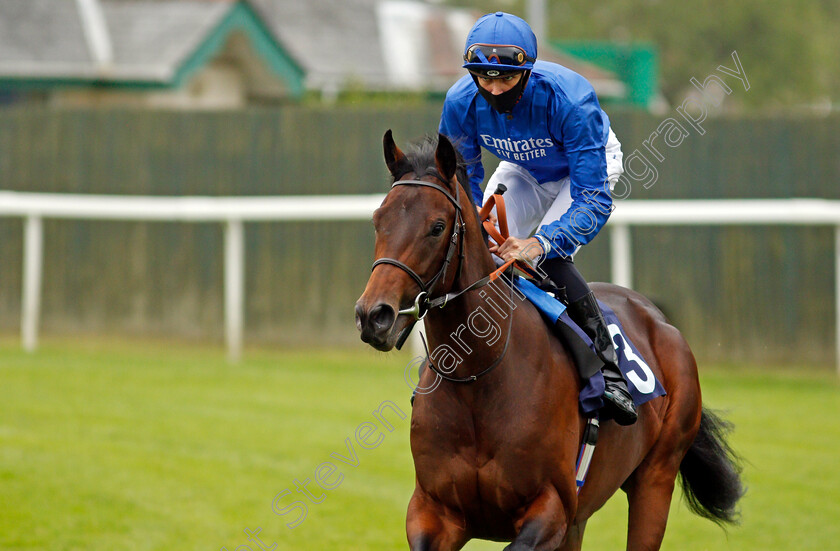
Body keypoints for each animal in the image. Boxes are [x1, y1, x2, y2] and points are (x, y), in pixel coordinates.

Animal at [352, 133, 740, 551]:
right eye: (378, 220)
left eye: (437, 226)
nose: (374, 315)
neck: (479, 378)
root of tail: (660, 320)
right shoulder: (432, 510)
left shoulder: (551, 508)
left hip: (656, 477)